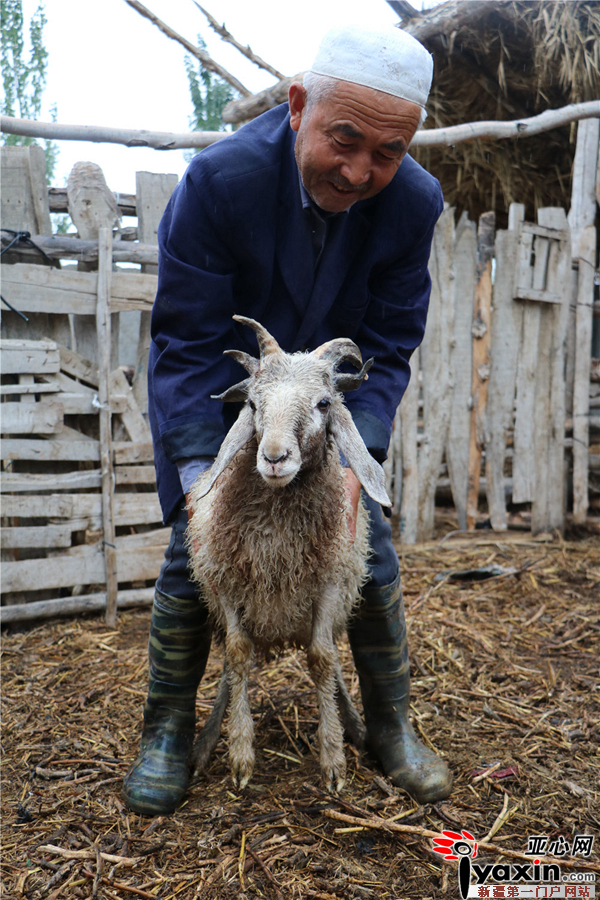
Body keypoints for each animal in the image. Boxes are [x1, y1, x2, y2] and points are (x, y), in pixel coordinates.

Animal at [189, 312, 394, 792]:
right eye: (252, 405)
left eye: (323, 403)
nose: (274, 457)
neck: (275, 532)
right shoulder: (227, 584)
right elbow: (237, 657)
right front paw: (240, 754)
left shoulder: (327, 586)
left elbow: (322, 661)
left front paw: (334, 758)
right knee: (230, 668)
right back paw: (208, 739)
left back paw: (355, 725)